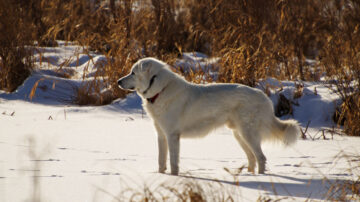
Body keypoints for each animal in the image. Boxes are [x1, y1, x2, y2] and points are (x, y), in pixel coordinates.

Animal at [117, 57, 298, 175]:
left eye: (132, 73)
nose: (118, 81)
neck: (159, 89)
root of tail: (263, 96)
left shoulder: (172, 135)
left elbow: (173, 162)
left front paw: (173, 178)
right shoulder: (161, 135)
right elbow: (161, 160)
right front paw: (160, 176)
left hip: (248, 134)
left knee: (261, 157)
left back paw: (259, 178)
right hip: (239, 135)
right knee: (252, 158)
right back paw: (249, 175)